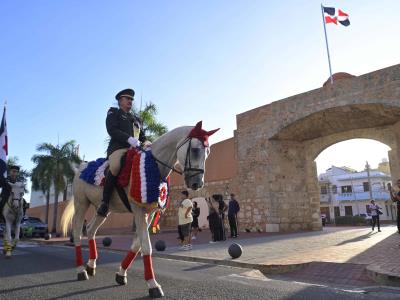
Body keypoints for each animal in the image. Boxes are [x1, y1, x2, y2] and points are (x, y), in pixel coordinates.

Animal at [61, 121, 219, 298]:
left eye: (208, 152)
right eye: (195, 150)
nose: (197, 184)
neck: (154, 165)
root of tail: (80, 168)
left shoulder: (149, 213)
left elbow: (137, 245)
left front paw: (121, 274)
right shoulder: (138, 211)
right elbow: (146, 247)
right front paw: (153, 285)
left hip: (104, 209)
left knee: (90, 229)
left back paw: (91, 265)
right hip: (81, 204)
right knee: (77, 232)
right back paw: (81, 270)